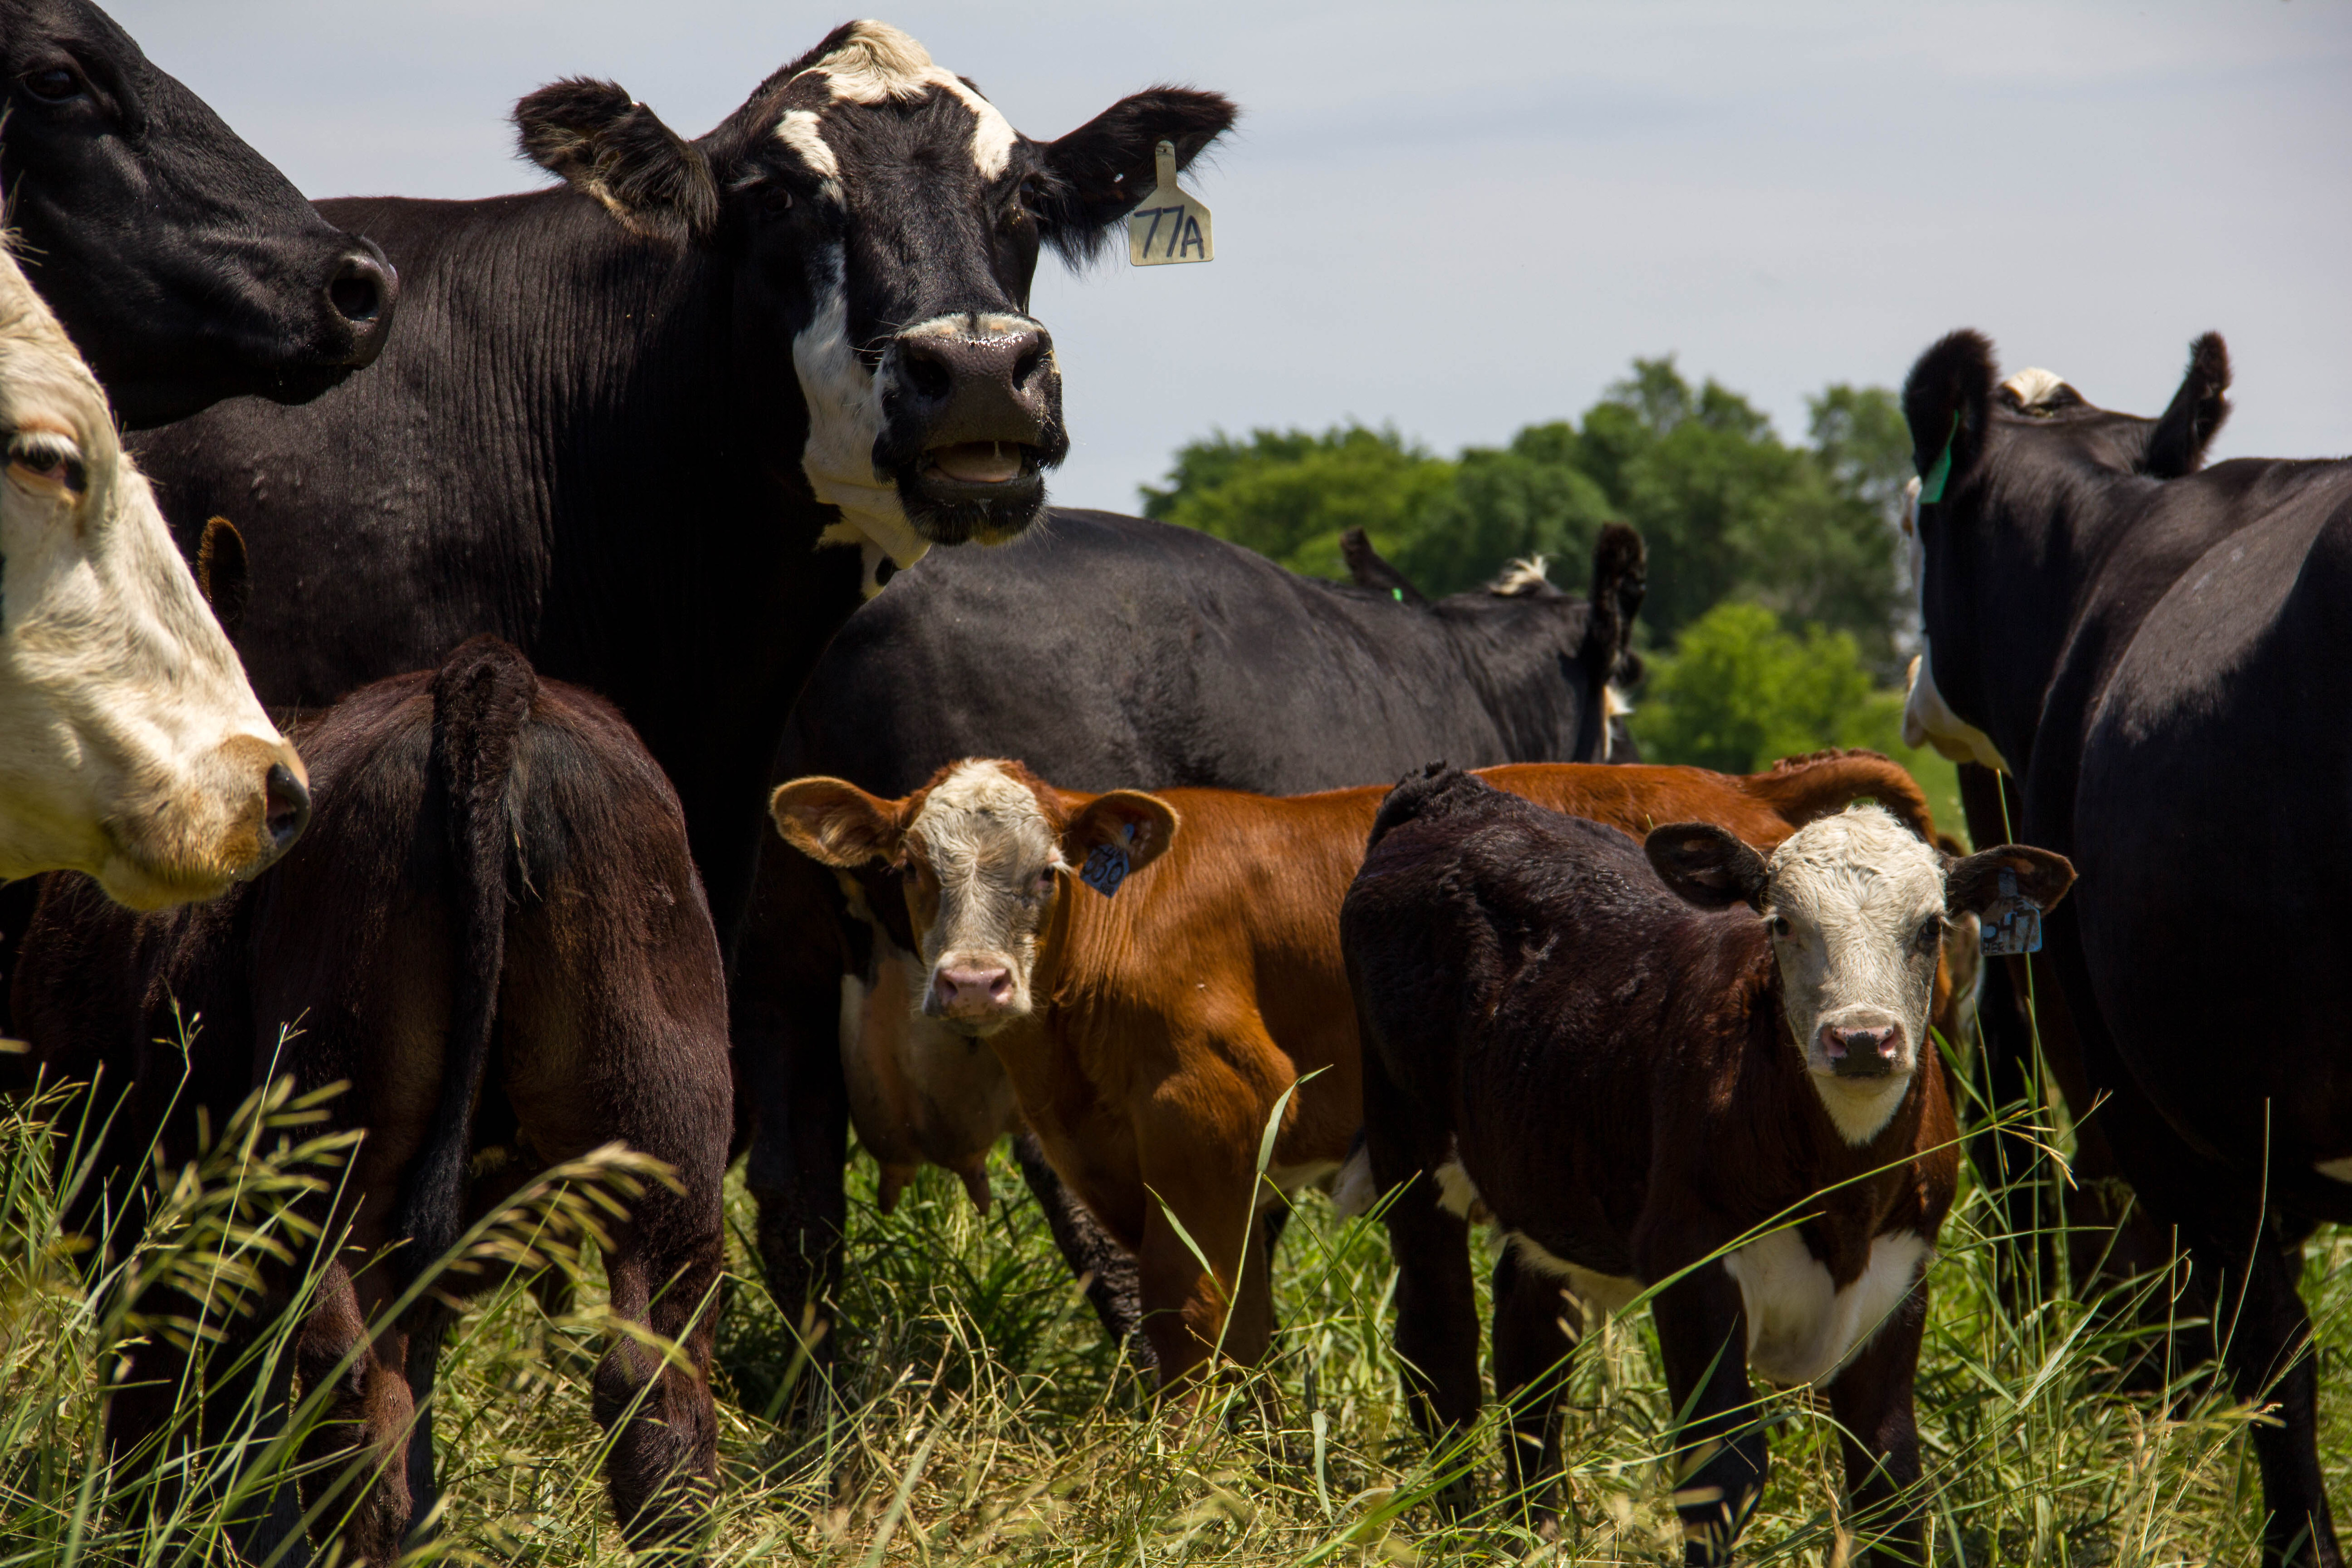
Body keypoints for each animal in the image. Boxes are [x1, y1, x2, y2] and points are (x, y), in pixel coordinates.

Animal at [16, 637, 732, 1563]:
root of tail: (489, 676)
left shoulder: (116, 1191)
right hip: (662, 1139)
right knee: (650, 1385)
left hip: (338, 1162)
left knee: (350, 1388)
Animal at [767, 746, 1948, 1392]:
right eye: (912, 870)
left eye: (1047, 872)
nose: (973, 983)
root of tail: (1740, 786)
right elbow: (1241, 1326)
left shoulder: (1212, 1112)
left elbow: (1191, 1319)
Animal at [1341, 768, 2071, 1563]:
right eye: (1782, 924)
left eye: (1932, 926)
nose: (1861, 1040)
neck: (1841, 1199)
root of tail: (1453, 794)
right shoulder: (1692, 1263)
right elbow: (1724, 1470)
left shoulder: (1900, 1273)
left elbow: (1892, 1480)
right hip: (1407, 1148)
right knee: (1439, 1340)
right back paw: (1463, 1525)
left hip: (1543, 1170)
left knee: (1530, 1345)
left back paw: (1536, 1527)